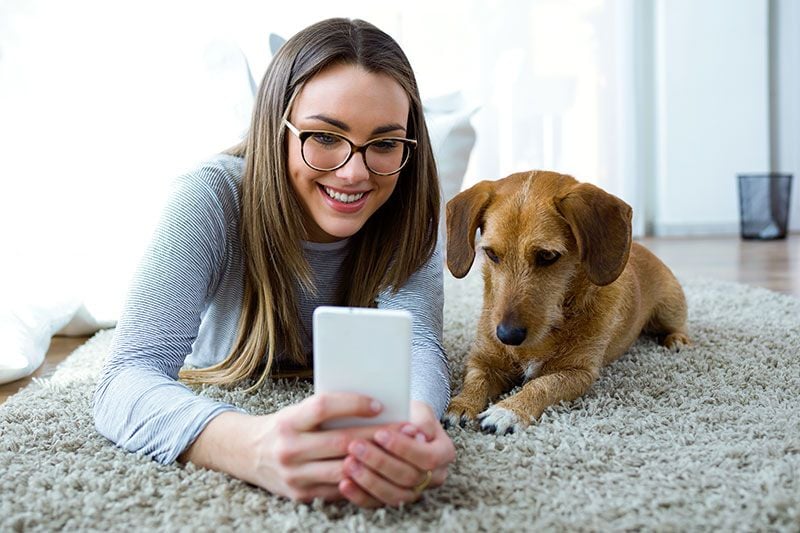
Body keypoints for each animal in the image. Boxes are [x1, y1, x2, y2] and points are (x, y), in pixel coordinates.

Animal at [444, 170, 688, 432]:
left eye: (547, 255)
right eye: (491, 254)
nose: (507, 336)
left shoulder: (578, 373)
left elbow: (541, 385)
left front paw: (509, 410)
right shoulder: (483, 361)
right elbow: (475, 380)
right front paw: (461, 405)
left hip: (668, 309)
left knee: (678, 325)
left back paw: (677, 340)